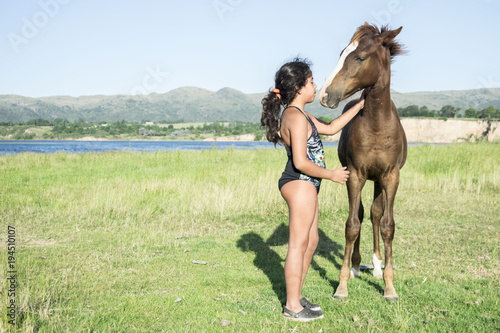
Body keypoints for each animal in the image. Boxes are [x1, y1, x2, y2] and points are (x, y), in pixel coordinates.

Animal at [320, 22, 406, 300]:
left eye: (359, 57)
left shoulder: (391, 176)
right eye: (341, 54)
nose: (325, 94)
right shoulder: (355, 174)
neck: (377, 124)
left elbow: (387, 225)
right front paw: (342, 286)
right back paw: (357, 267)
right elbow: (352, 224)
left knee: (375, 214)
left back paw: (377, 266)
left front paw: (389, 287)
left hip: (378, 179)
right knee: (359, 212)